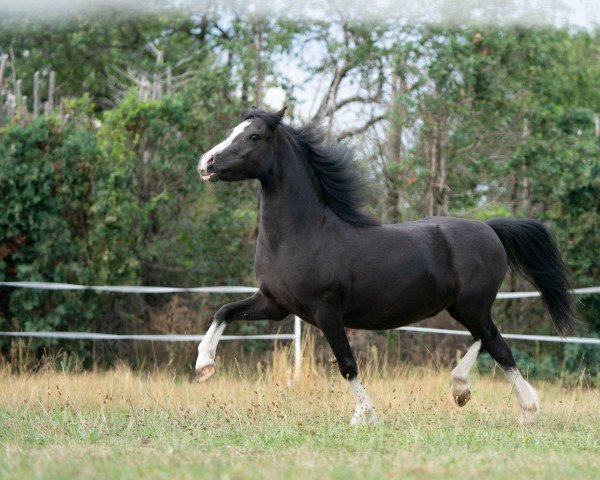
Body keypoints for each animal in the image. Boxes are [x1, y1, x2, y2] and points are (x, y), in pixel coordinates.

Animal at [196, 108, 576, 424]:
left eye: (253, 136)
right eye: (233, 131)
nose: (206, 163)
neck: (304, 233)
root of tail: (490, 228)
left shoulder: (325, 312)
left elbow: (347, 364)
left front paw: (364, 417)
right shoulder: (275, 305)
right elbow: (224, 311)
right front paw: (204, 365)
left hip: (473, 304)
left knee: (497, 344)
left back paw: (517, 406)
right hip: (459, 307)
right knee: (487, 340)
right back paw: (473, 394)